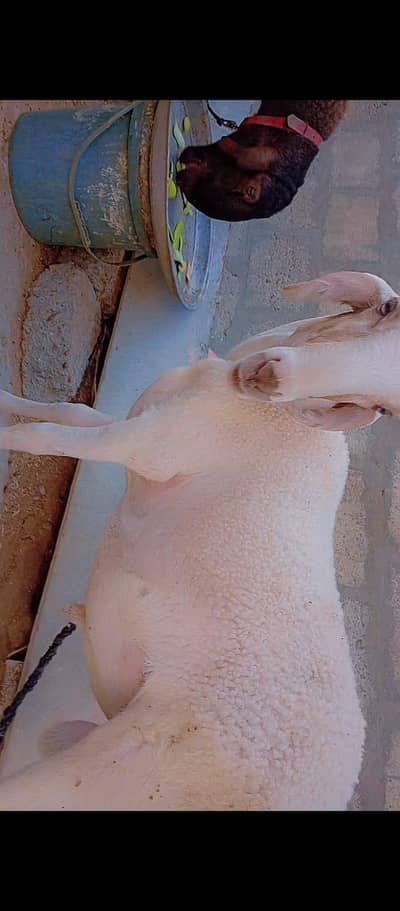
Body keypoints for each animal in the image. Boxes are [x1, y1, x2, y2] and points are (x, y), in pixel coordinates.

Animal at [0, 270, 396, 811]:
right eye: (388, 310)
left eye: (383, 407)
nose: (272, 378)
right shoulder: (141, 426)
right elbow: (70, 410)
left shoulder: (151, 446)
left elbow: (46, 436)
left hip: (124, 765)